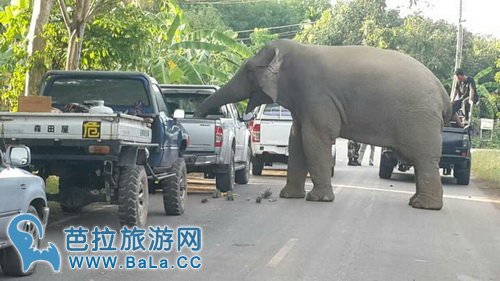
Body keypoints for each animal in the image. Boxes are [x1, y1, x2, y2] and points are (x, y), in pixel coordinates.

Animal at [196, 40, 454, 210]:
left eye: (249, 71)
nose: (196, 111)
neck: (297, 49)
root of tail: (444, 95)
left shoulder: (317, 97)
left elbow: (314, 139)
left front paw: (317, 200)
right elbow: (296, 140)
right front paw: (289, 196)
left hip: (420, 119)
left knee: (423, 158)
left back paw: (423, 206)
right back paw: (418, 202)